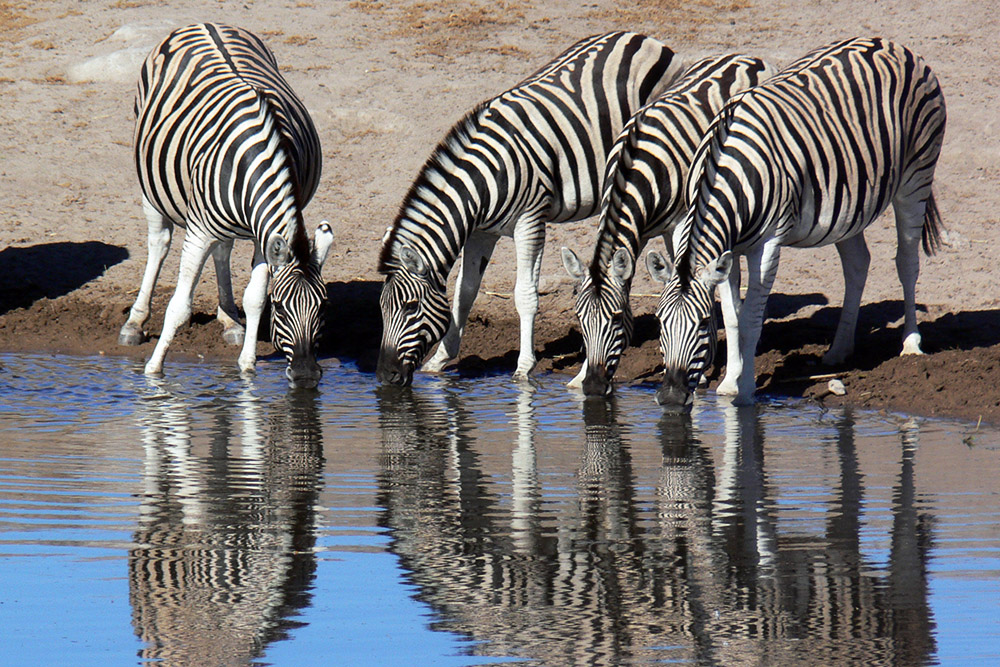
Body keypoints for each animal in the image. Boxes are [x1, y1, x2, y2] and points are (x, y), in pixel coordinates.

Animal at [118, 23, 333, 388]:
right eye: (281, 308)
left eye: (324, 307)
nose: (305, 377)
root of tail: (204, 23)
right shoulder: (199, 231)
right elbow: (179, 306)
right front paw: (153, 372)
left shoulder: (263, 233)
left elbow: (254, 298)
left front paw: (247, 367)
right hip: (150, 182)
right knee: (159, 243)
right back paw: (135, 323)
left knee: (223, 249)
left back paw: (231, 321)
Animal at [375, 32, 685, 386]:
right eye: (381, 308)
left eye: (411, 307)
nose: (384, 376)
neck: (483, 180)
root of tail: (642, 37)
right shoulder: (481, 231)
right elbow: (465, 292)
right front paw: (441, 358)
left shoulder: (530, 221)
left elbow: (524, 295)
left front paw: (524, 368)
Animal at [560, 54, 777, 396]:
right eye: (580, 318)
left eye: (617, 319)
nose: (593, 387)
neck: (633, 169)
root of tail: (746, 57)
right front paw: (579, 376)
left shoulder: (680, 222)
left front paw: (699, 366)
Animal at [646, 37, 946, 408]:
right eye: (659, 321)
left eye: (702, 324)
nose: (671, 396)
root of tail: (892, 43)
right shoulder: (728, 247)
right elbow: (732, 316)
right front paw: (729, 383)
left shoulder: (768, 244)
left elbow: (750, 318)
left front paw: (745, 391)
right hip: (852, 200)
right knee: (858, 263)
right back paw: (839, 351)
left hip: (916, 175)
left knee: (906, 261)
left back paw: (911, 344)